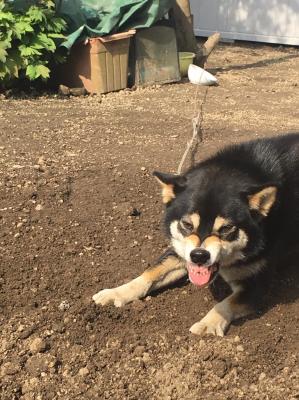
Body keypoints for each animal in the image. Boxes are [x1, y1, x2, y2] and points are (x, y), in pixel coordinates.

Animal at [93, 133, 299, 336]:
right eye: (187, 224)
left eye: (226, 228)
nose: (199, 255)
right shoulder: (180, 250)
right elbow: (150, 273)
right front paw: (116, 293)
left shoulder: (255, 284)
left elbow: (226, 303)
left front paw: (208, 324)